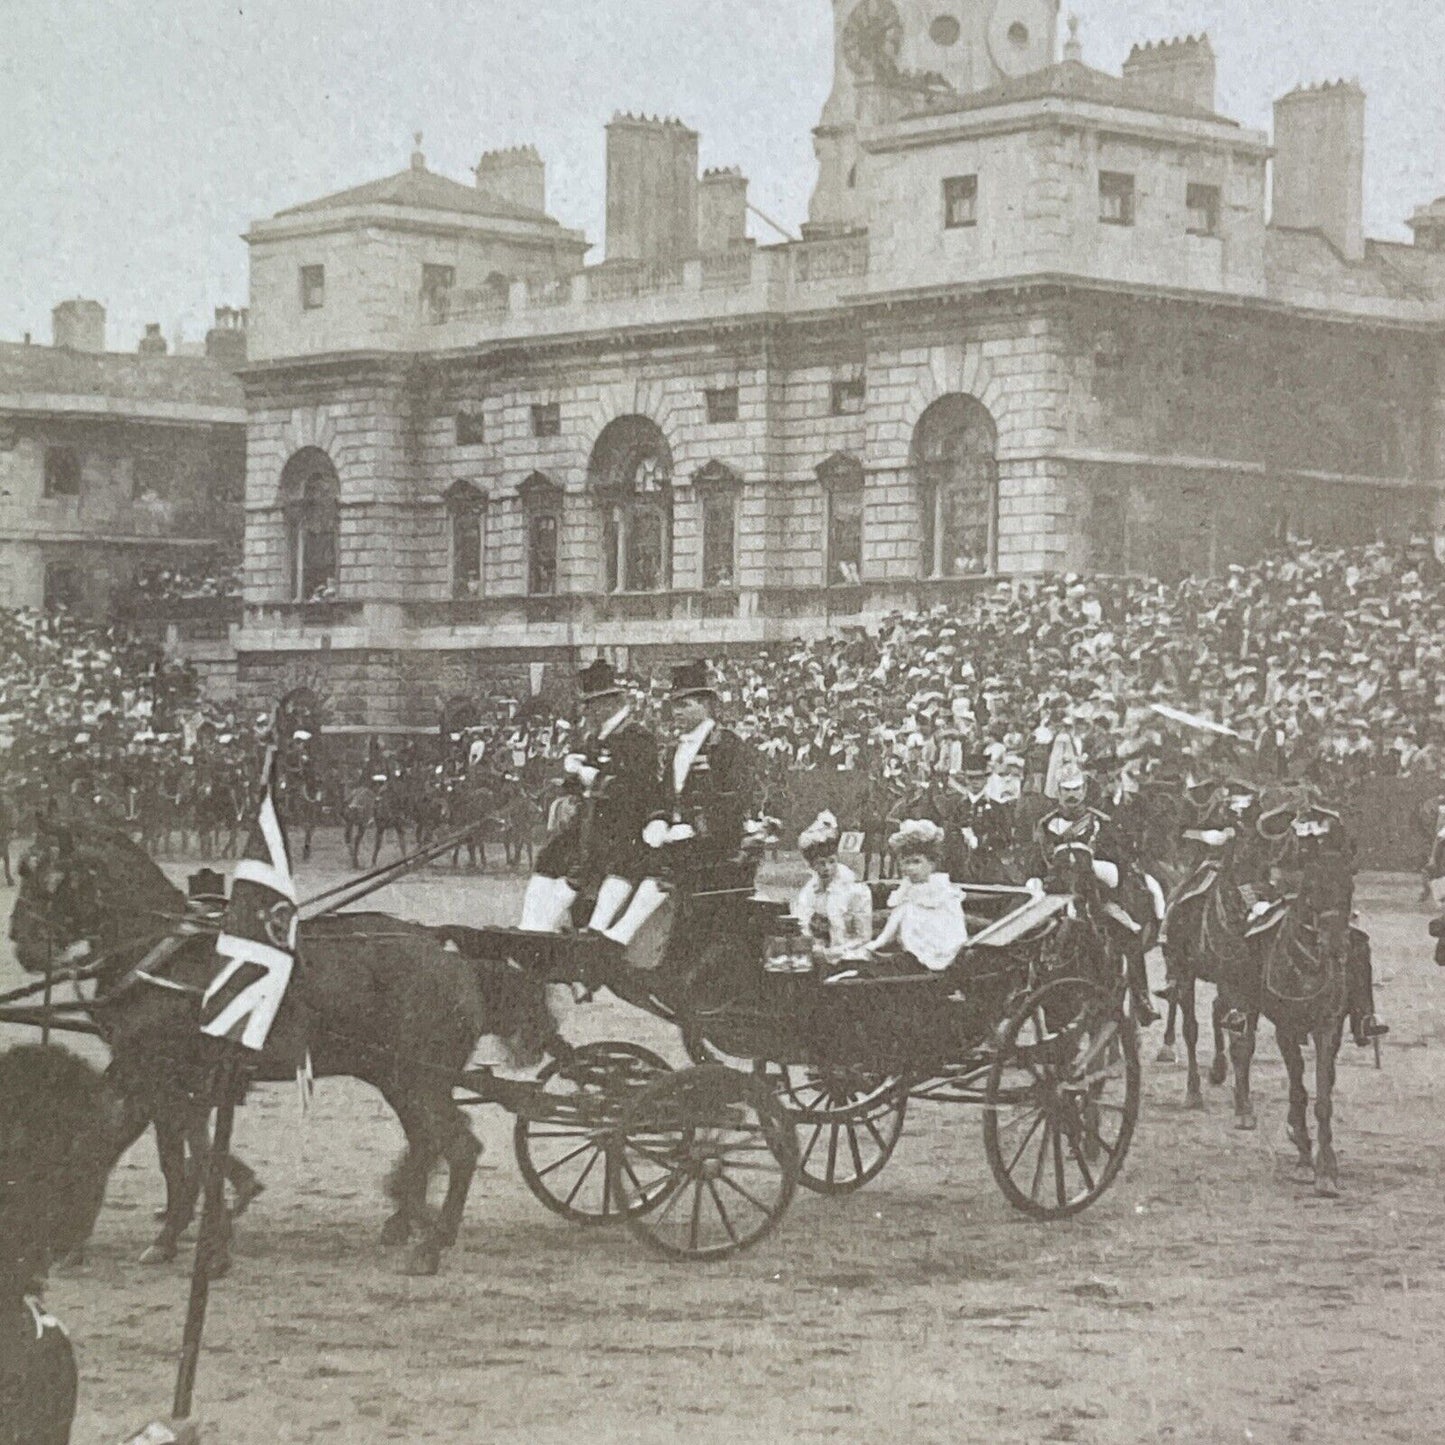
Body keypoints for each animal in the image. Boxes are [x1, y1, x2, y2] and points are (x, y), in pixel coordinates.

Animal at [11, 820, 551, 1271]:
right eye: (22, 871)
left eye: (51, 879)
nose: (21, 943)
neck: (166, 956)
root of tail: (454, 959)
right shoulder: (155, 1077)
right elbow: (163, 1153)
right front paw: (171, 1235)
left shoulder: (160, 1075)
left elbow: (176, 1155)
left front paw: (210, 1240)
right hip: (397, 1077)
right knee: (427, 1142)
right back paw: (409, 1218)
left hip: (421, 1078)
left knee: (459, 1147)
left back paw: (430, 1243)